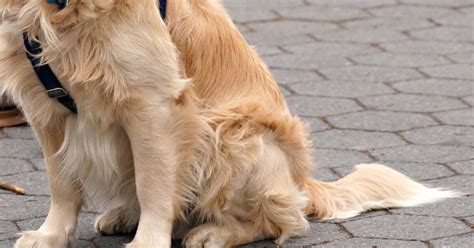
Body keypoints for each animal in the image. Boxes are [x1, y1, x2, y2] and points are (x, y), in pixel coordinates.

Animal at [0, 0, 460, 248]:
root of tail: (302, 180)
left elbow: (154, 187)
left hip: (231, 134)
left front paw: (149, 241)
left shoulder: (153, 102)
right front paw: (51, 235)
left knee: (285, 221)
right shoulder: (44, 107)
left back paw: (214, 233)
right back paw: (124, 215)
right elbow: (63, 185)